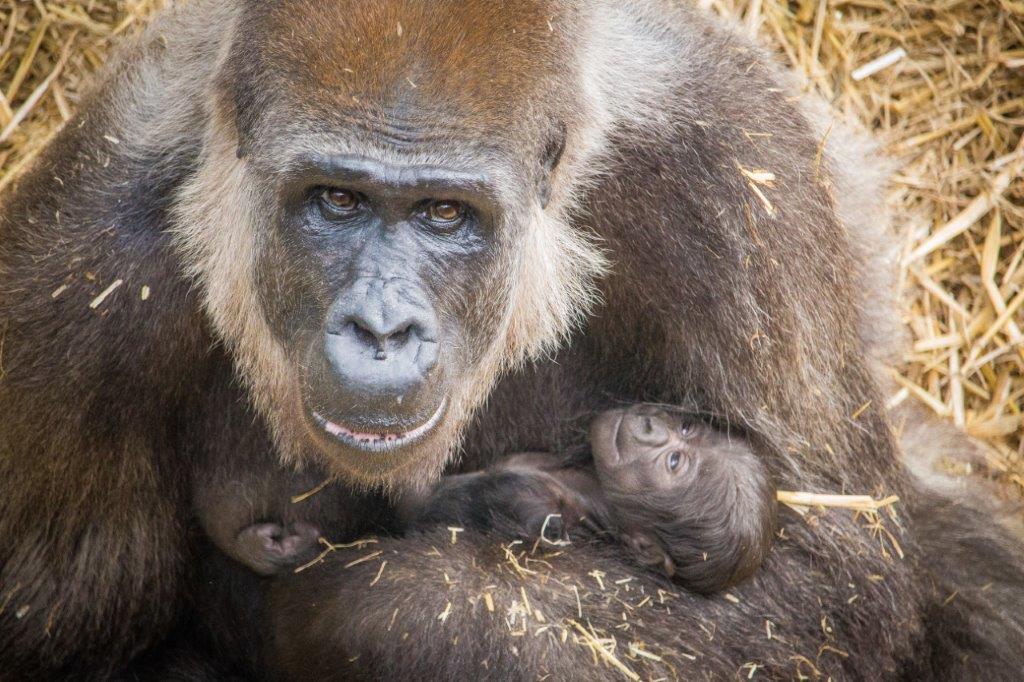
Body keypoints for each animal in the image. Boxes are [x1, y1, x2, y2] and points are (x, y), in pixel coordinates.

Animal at [0, 1, 1019, 679]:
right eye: (335, 201)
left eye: (446, 215)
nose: (381, 330)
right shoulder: (73, 268)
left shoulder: (734, 164)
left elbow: (820, 581)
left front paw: (372, 611)